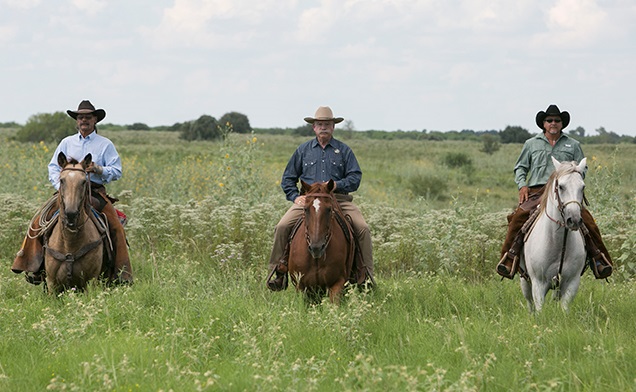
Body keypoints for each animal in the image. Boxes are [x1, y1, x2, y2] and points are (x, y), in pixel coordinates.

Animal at [44, 152, 105, 292]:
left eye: (83, 181)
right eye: (61, 180)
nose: (71, 214)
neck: (69, 242)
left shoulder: (91, 281)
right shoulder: (52, 283)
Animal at [520, 156, 588, 312]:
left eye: (582, 187)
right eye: (561, 186)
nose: (574, 220)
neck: (558, 243)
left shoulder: (572, 283)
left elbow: (564, 308)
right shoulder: (538, 283)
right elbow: (539, 309)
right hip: (524, 280)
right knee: (529, 302)